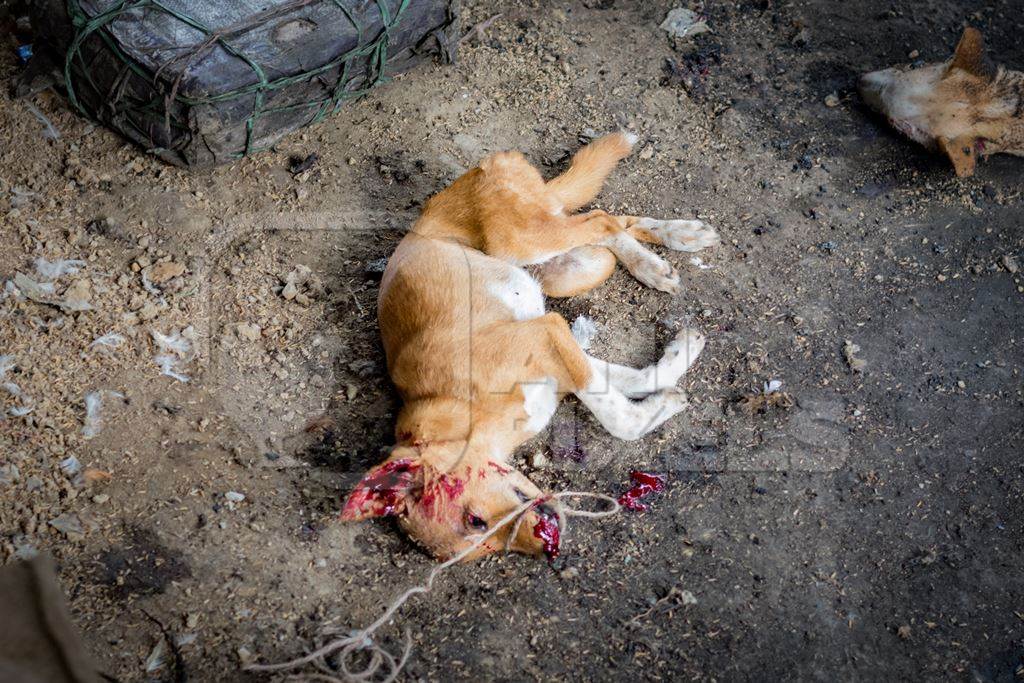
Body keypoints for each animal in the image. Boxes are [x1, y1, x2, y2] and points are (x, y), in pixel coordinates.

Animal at [339, 132, 716, 561]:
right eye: (485, 548)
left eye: (475, 520)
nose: (550, 548)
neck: (462, 411)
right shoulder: (555, 353)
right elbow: (630, 380)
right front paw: (676, 368)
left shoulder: (546, 333)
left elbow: (619, 420)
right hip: (570, 267)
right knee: (609, 225)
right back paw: (681, 238)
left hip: (524, 239)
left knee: (600, 217)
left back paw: (655, 262)